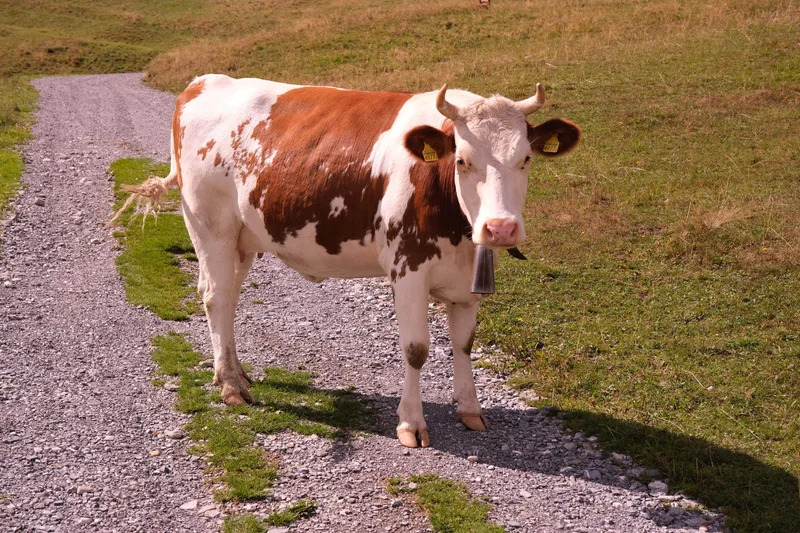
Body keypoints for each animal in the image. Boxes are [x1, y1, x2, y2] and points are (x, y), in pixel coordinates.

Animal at [117, 74, 580, 448]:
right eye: (463, 160)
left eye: (525, 159)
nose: (500, 228)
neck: (456, 223)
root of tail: (202, 83)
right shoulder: (407, 268)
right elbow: (416, 349)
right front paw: (411, 424)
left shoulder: (466, 278)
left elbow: (463, 344)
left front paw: (470, 410)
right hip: (210, 226)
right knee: (215, 297)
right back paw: (231, 386)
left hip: (242, 240)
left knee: (226, 298)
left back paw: (234, 372)